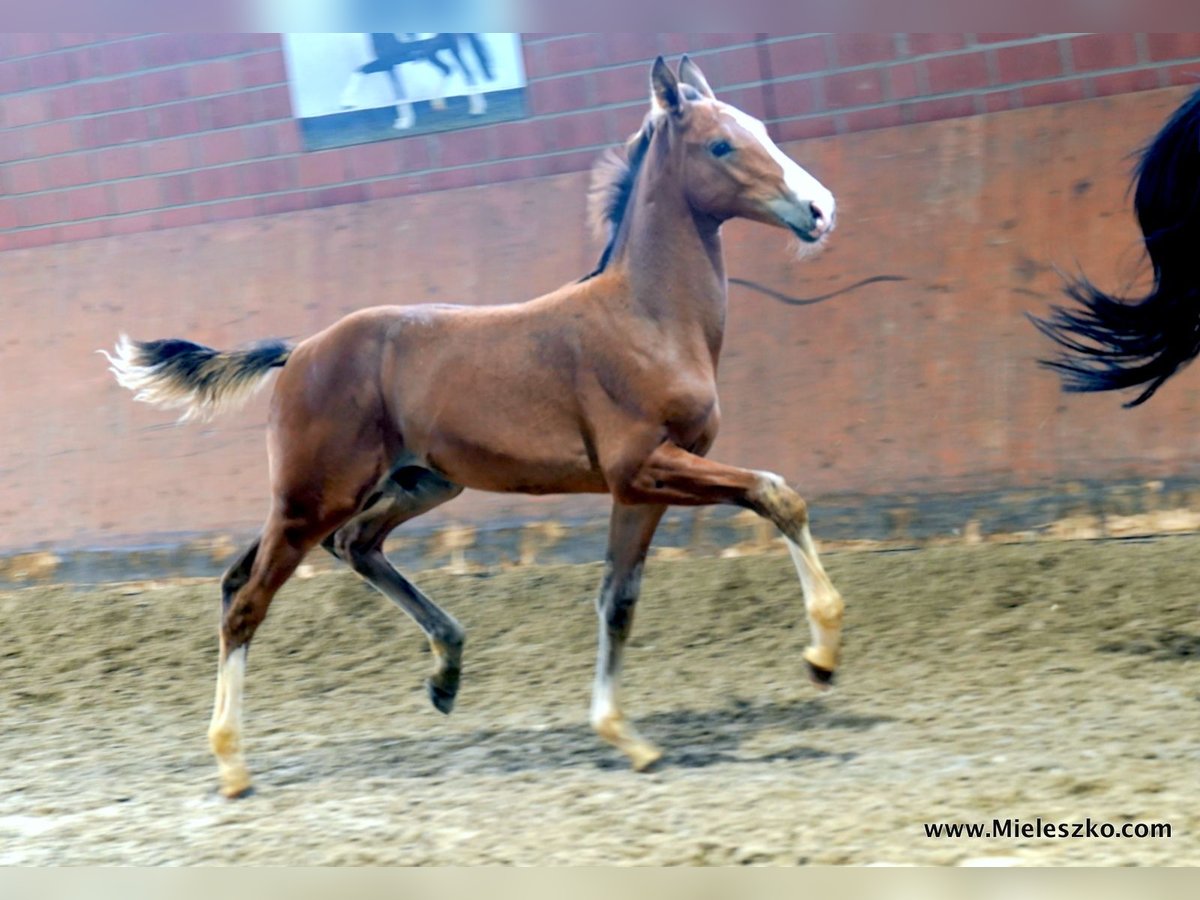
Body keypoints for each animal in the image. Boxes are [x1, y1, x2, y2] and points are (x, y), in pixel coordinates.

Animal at [105, 56, 844, 801]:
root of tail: (301, 350)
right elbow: (776, 493)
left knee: (334, 551)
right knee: (249, 601)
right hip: (314, 498)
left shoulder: (639, 489)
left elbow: (619, 600)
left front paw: (625, 736)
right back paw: (233, 764)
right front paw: (821, 654)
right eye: (720, 145)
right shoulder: (644, 466)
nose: (820, 209)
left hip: (411, 485)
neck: (648, 319)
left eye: (761, 128)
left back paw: (446, 672)